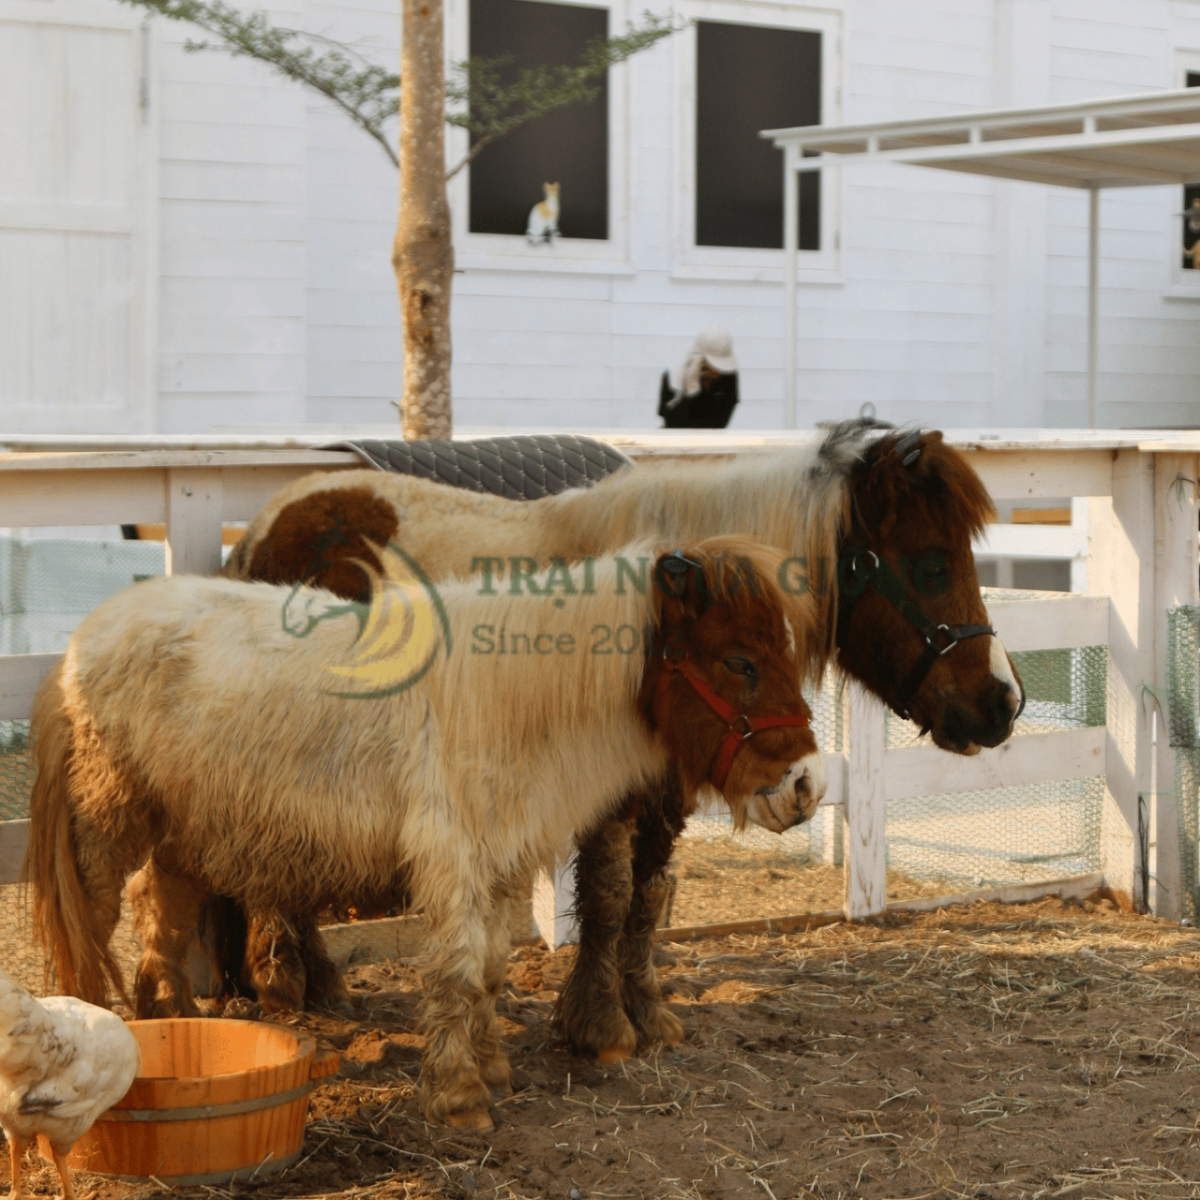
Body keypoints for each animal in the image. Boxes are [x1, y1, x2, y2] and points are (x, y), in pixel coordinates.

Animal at [25, 536, 824, 1131]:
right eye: (740, 662)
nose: (807, 785)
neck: (512, 701)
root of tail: (86, 634)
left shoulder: (500, 862)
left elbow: (493, 970)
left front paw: (492, 1068)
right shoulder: (454, 860)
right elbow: (459, 972)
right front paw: (459, 1097)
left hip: (180, 831)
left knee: (160, 910)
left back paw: (173, 1018)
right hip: (108, 821)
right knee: (93, 919)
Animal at [213, 419, 1022, 1060]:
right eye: (931, 561)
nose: (1002, 702)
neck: (658, 628)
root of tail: (269, 524)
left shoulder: (665, 792)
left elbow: (647, 896)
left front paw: (645, 1014)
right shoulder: (605, 793)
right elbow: (606, 896)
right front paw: (600, 1028)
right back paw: (291, 977)